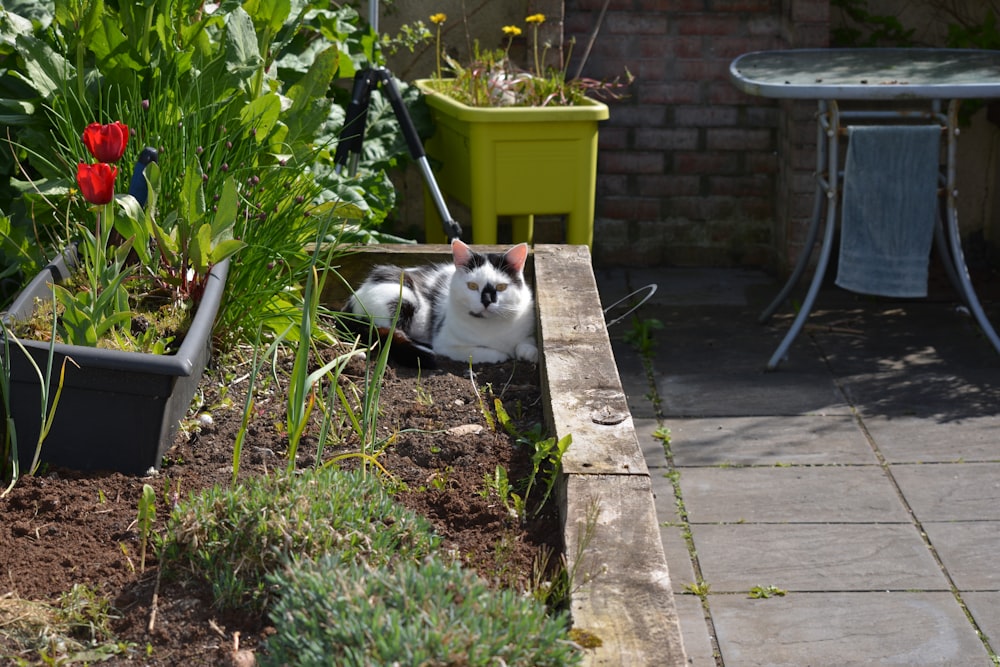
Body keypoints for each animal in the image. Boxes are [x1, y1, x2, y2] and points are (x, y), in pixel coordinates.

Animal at [346, 240, 536, 366]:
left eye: (501, 287)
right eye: (472, 286)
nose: (487, 301)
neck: (492, 328)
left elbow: (525, 343)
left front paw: (528, 352)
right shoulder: (447, 344)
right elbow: (481, 352)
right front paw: (502, 355)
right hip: (401, 298)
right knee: (391, 334)